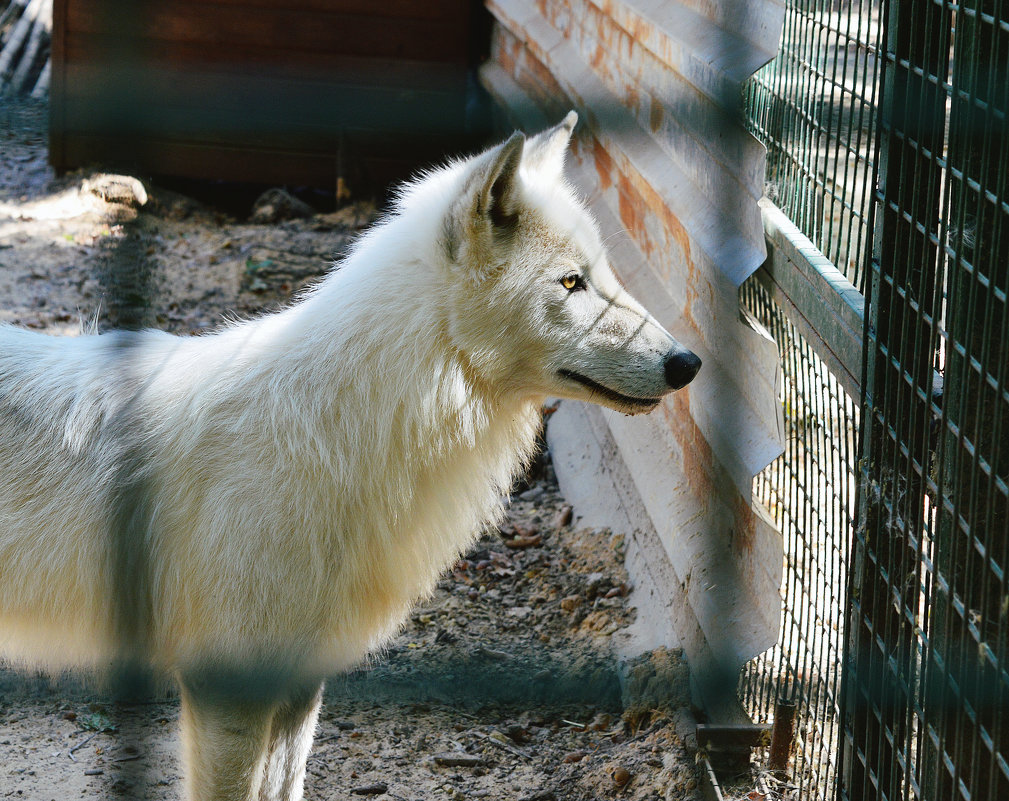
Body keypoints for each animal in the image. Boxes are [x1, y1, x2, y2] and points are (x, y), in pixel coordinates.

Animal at [0, 113, 698, 798]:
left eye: (604, 274)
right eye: (571, 283)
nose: (688, 363)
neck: (346, 426)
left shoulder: (300, 687)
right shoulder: (227, 693)